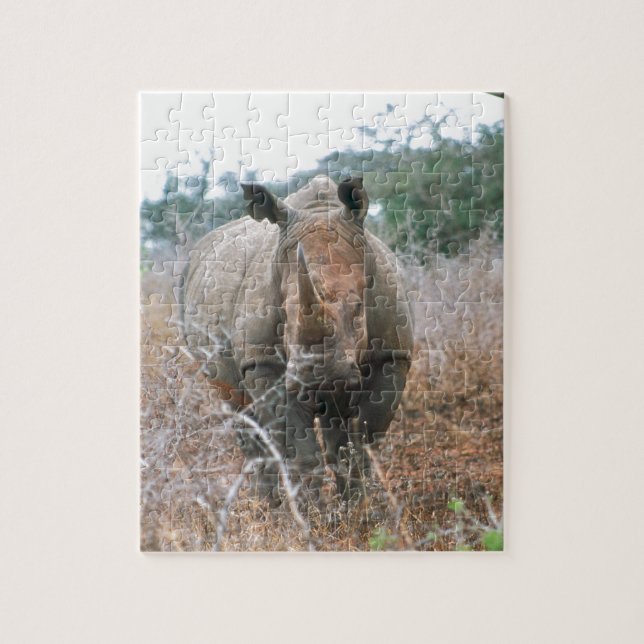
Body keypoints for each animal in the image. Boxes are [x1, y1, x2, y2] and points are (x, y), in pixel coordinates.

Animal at [183, 175, 413, 503]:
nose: (318, 374)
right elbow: (300, 449)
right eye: (286, 315)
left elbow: (363, 445)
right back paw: (268, 509)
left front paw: (359, 510)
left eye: (359, 309)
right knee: (241, 411)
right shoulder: (264, 363)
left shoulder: (391, 356)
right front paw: (315, 515)